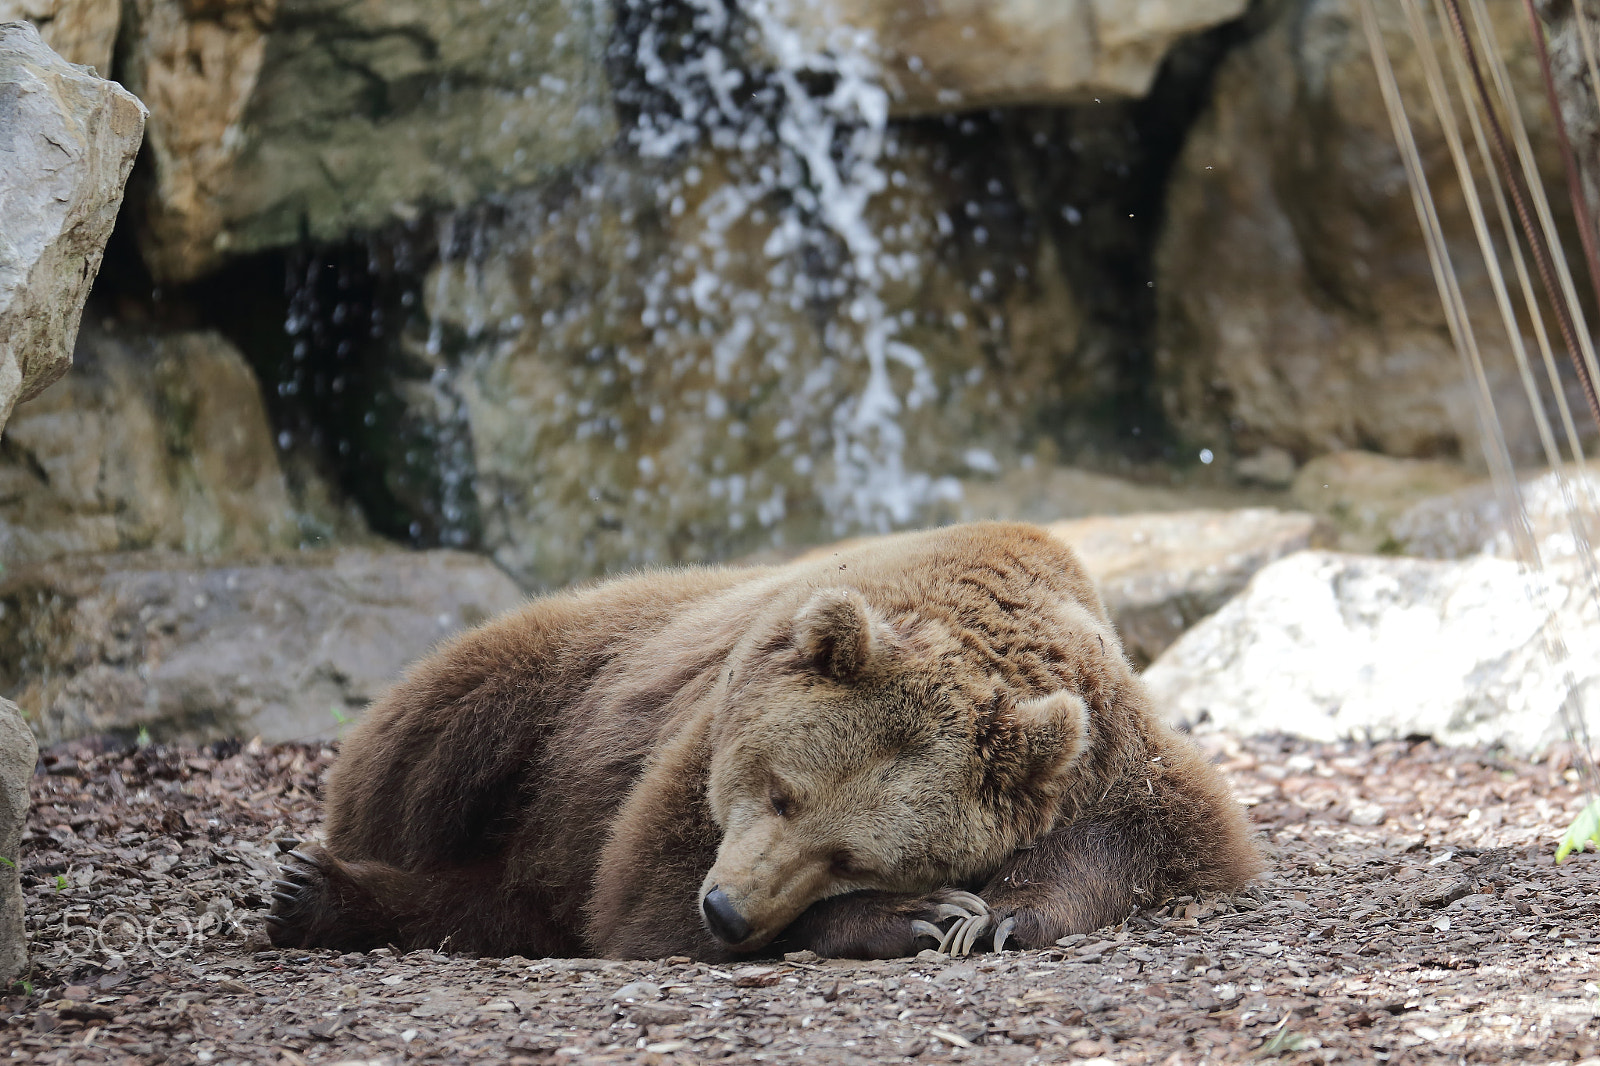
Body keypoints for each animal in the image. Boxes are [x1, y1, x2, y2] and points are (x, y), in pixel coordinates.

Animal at [265, 518, 1260, 960]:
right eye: (783, 792)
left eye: (851, 855)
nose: (729, 909)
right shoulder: (685, 754)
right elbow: (641, 900)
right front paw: (925, 914)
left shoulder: (1116, 752)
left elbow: (1155, 838)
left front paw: (1002, 909)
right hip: (536, 688)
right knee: (424, 769)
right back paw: (313, 882)